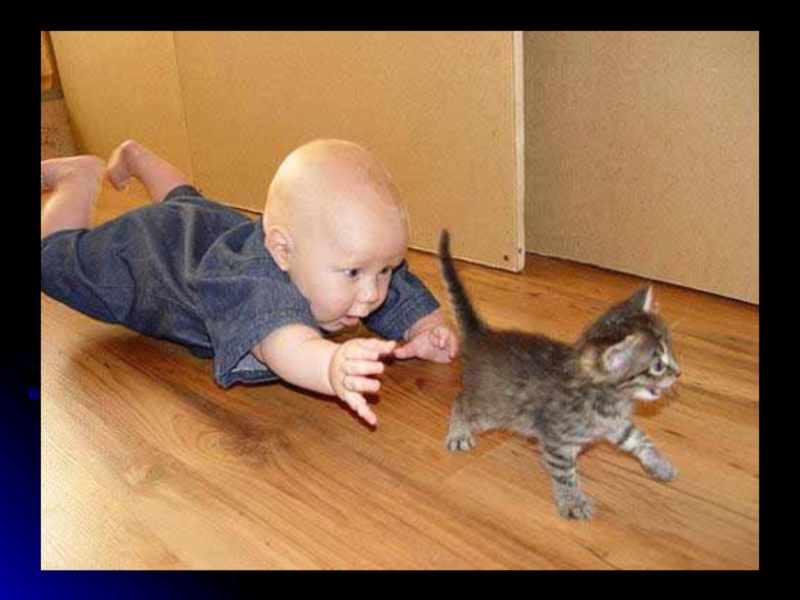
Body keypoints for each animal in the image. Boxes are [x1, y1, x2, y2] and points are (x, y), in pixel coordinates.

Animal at [439, 230, 680, 519]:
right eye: (657, 366)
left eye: (671, 353)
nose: (678, 373)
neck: (606, 396)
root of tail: (482, 336)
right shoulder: (557, 443)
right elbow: (565, 475)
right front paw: (573, 502)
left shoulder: (616, 425)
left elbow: (640, 440)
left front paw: (660, 464)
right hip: (489, 410)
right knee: (460, 401)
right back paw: (458, 433)